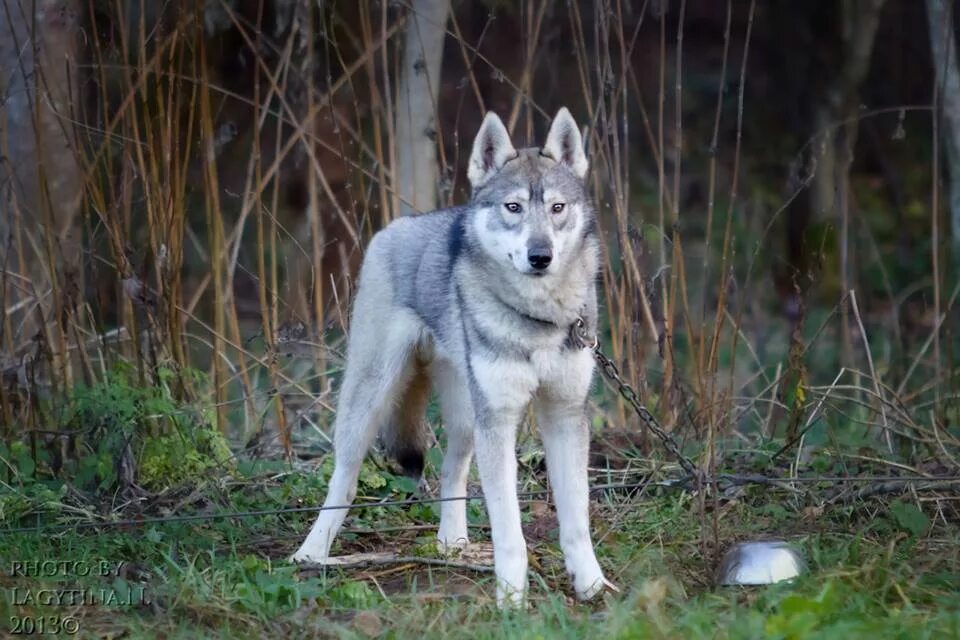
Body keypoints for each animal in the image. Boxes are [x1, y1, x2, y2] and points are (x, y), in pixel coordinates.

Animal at [290, 109, 616, 604]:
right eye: (513, 208)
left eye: (557, 208)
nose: (540, 256)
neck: (539, 317)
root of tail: (396, 226)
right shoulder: (499, 420)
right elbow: (509, 529)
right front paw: (511, 599)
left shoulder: (564, 414)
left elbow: (576, 520)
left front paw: (592, 586)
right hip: (370, 402)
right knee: (342, 479)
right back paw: (311, 553)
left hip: (465, 419)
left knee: (449, 471)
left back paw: (452, 543)